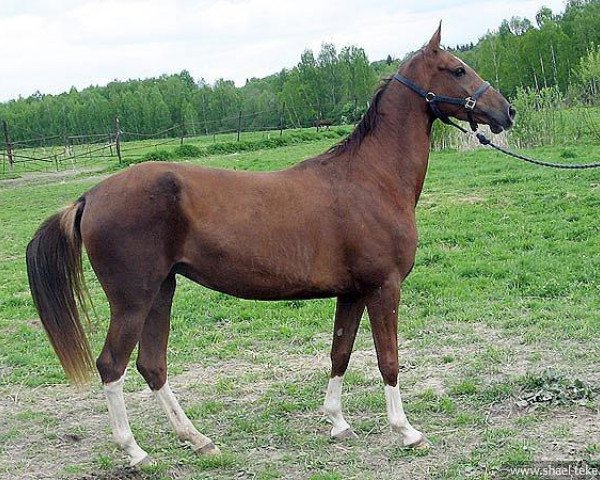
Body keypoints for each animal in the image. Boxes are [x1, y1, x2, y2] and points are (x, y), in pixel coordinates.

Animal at [25, 25, 512, 464]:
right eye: (457, 69)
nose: (506, 110)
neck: (370, 178)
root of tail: (89, 196)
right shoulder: (383, 288)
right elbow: (388, 360)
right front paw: (406, 431)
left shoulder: (352, 293)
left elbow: (340, 352)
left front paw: (337, 422)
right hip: (133, 299)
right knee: (112, 366)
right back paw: (135, 451)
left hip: (161, 292)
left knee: (152, 365)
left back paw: (197, 440)